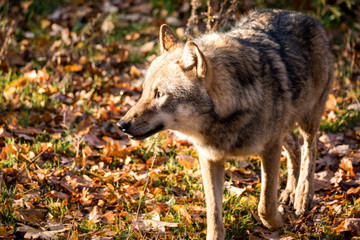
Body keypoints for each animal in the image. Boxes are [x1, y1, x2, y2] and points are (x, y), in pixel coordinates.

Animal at [116, 9, 334, 240]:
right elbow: (213, 212)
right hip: (285, 127)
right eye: (144, 92)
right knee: (294, 146)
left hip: (309, 118)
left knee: (310, 149)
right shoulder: (209, 157)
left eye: (159, 94)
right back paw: (291, 192)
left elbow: (265, 204)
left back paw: (302, 195)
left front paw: (278, 223)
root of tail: (303, 15)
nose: (121, 124)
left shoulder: (269, 149)